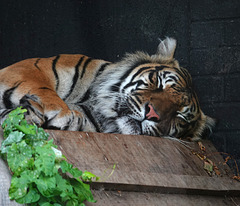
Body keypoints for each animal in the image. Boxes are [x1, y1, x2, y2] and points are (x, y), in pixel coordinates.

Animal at [0, 37, 215, 140]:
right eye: (159, 83)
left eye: (179, 116)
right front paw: (62, 111)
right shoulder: (29, 68)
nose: (152, 114)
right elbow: (43, 88)